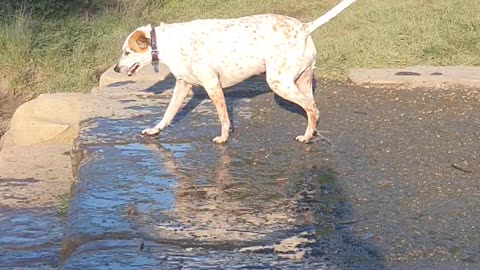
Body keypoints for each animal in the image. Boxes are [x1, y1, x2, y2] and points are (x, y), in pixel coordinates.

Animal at [114, 0, 356, 143]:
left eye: (127, 52)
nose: (116, 68)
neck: (168, 43)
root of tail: (304, 28)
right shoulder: (182, 85)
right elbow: (167, 114)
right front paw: (155, 131)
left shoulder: (212, 85)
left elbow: (223, 117)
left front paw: (223, 138)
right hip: (301, 82)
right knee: (312, 109)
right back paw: (310, 134)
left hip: (279, 83)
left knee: (312, 108)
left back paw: (307, 136)